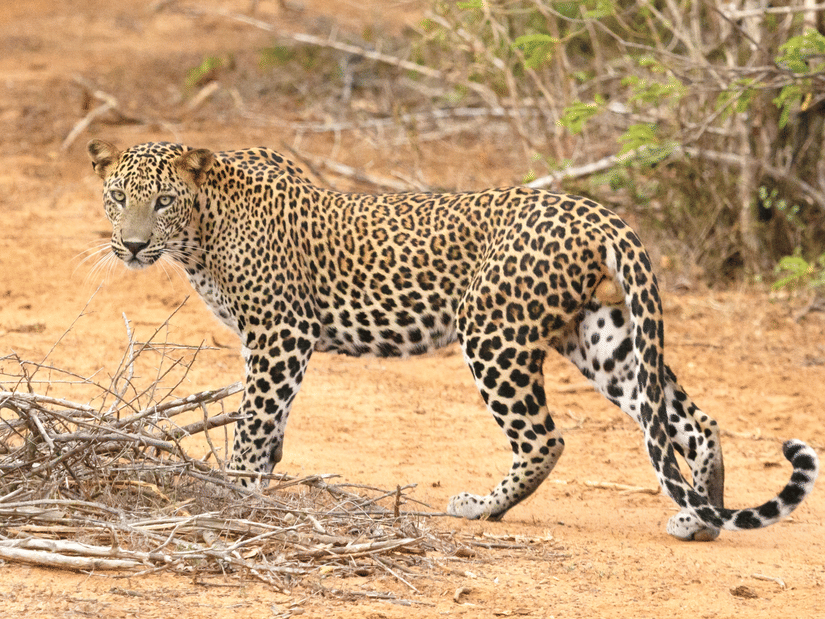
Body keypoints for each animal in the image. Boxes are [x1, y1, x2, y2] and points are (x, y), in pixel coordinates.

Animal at [87, 139, 819, 541]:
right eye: (117, 196)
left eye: (162, 201)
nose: (132, 245)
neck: (202, 231)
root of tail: (596, 211)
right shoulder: (274, 340)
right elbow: (271, 426)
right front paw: (257, 486)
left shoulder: (280, 332)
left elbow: (254, 420)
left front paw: (234, 493)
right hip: (600, 335)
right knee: (688, 421)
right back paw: (701, 516)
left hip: (493, 331)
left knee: (545, 437)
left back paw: (480, 508)